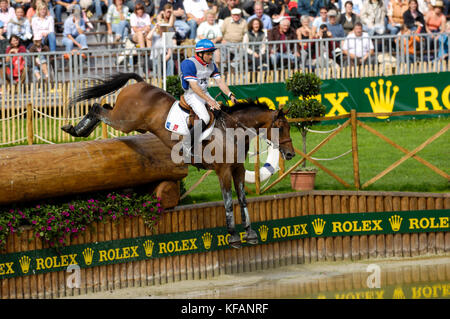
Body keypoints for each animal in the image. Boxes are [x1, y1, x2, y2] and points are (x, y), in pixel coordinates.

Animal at [62, 73, 296, 250]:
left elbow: (243, 200)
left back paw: (78, 129)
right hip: (125, 121)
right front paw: (233, 237)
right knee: (97, 108)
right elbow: (229, 202)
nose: (290, 154)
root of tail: (140, 84)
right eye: (280, 127)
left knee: (104, 106)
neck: (231, 131)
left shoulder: (237, 170)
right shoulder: (223, 171)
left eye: (288, 127)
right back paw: (76, 129)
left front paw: (251, 233)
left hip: (132, 123)